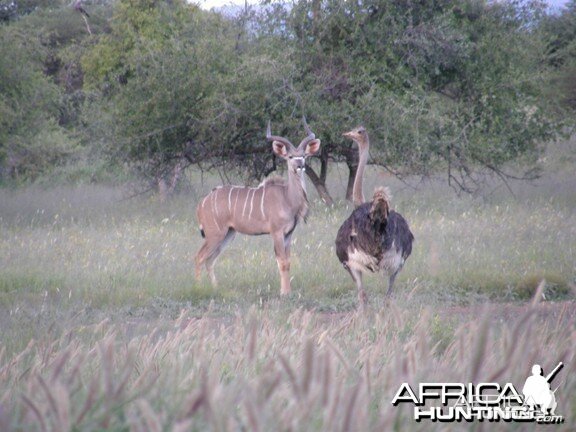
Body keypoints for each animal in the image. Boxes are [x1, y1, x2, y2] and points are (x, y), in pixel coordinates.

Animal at [196, 120, 322, 296]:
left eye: (303, 156)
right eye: (290, 156)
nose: (300, 165)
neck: (287, 198)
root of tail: (202, 203)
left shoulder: (288, 234)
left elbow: (288, 262)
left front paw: (288, 291)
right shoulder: (276, 233)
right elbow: (282, 262)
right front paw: (284, 293)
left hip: (228, 234)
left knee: (210, 260)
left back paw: (216, 288)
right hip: (214, 234)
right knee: (199, 257)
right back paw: (198, 288)